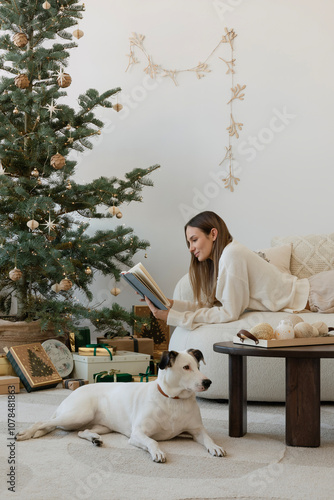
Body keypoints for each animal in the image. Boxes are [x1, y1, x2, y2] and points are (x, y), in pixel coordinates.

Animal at [15, 348, 226, 460]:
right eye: (186, 367)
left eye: (198, 366)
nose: (208, 382)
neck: (173, 400)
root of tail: (74, 392)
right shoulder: (138, 434)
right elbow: (152, 441)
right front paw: (157, 452)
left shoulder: (196, 430)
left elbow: (208, 438)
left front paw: (215, 446)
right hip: (77, 414)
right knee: (42, 422)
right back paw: (25, 433)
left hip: (100, 425)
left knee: (82, 431)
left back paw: (94, 438)